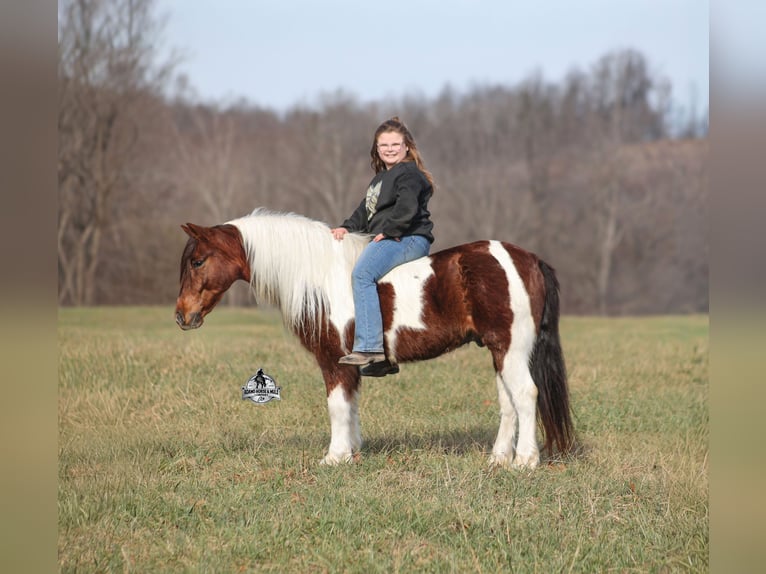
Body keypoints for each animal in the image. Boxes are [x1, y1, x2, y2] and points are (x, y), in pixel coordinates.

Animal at [175, 208, 574, 469]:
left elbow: (337, 406)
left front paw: (334, 457)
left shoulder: (334, 360)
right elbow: (350, 407)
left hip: (511, 349)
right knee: (508, 402)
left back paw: (525, 461)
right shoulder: (349, 366)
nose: (181, 316)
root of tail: (528, 259)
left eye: (198, 261)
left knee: (526, 395)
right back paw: (498, 458)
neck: (322, 276)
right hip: (499, 350)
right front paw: (351, 452)